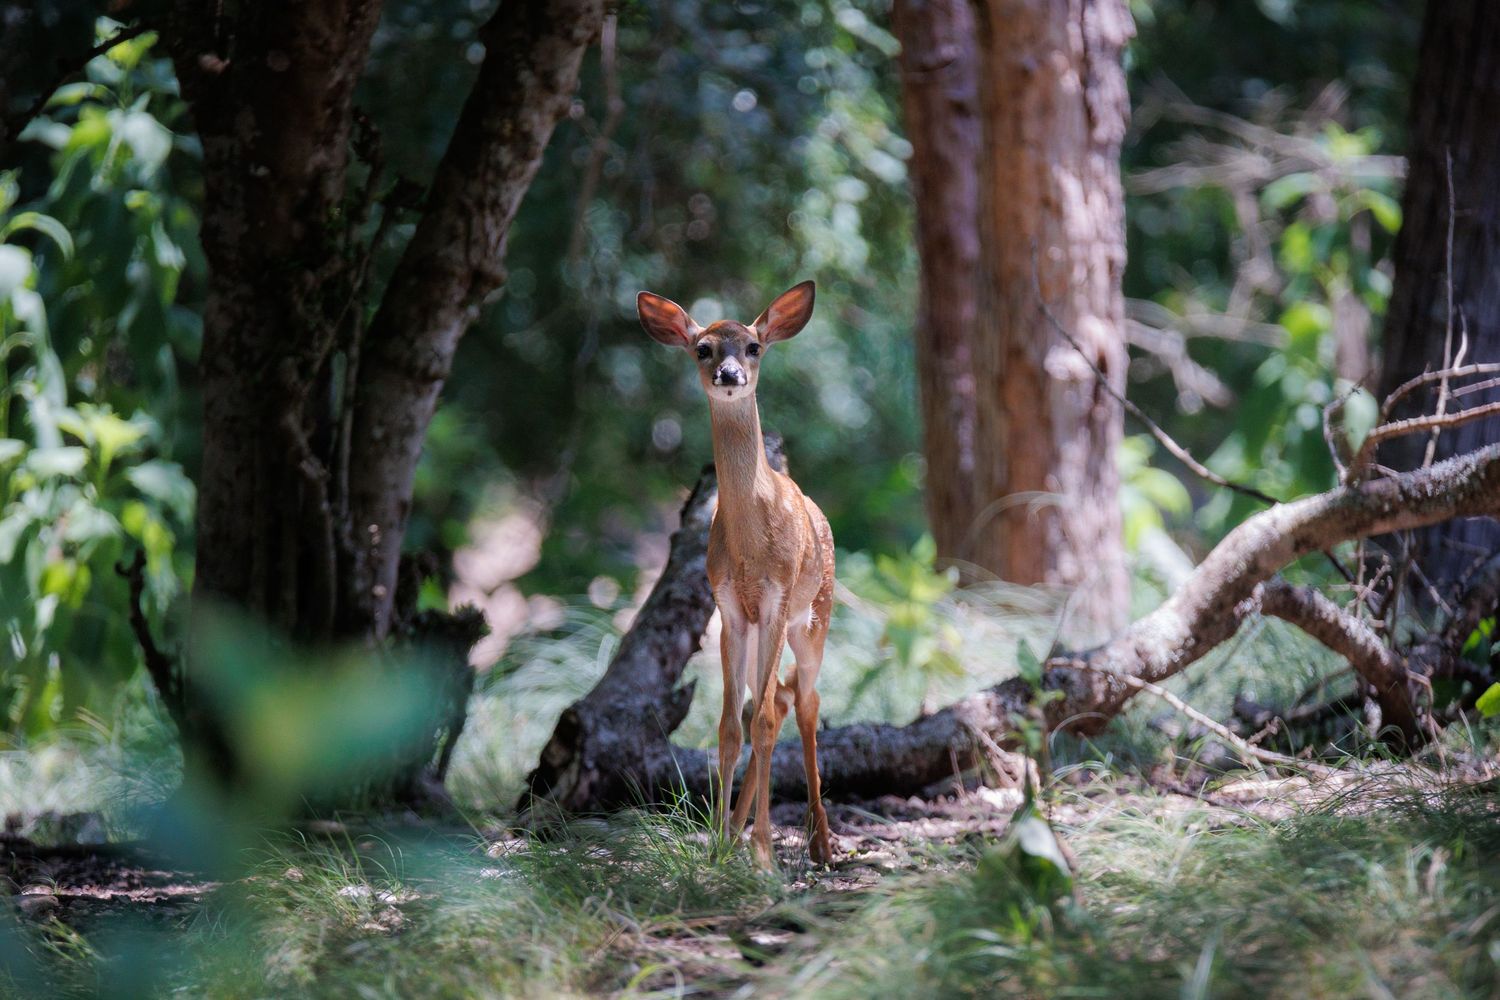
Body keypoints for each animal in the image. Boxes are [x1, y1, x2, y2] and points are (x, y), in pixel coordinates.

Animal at [636, 281, 835, 868]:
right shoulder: (728, 608)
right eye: (702, 348)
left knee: (805, 701)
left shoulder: (776, 599)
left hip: (814, 616)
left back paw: (819, 842)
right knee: (773, 701)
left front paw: (765, 855)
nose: (729, 374)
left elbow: (765, 722)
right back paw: (741, 830)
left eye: (753, 346)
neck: (751, 544)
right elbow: (729, 727)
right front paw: (720, 845)